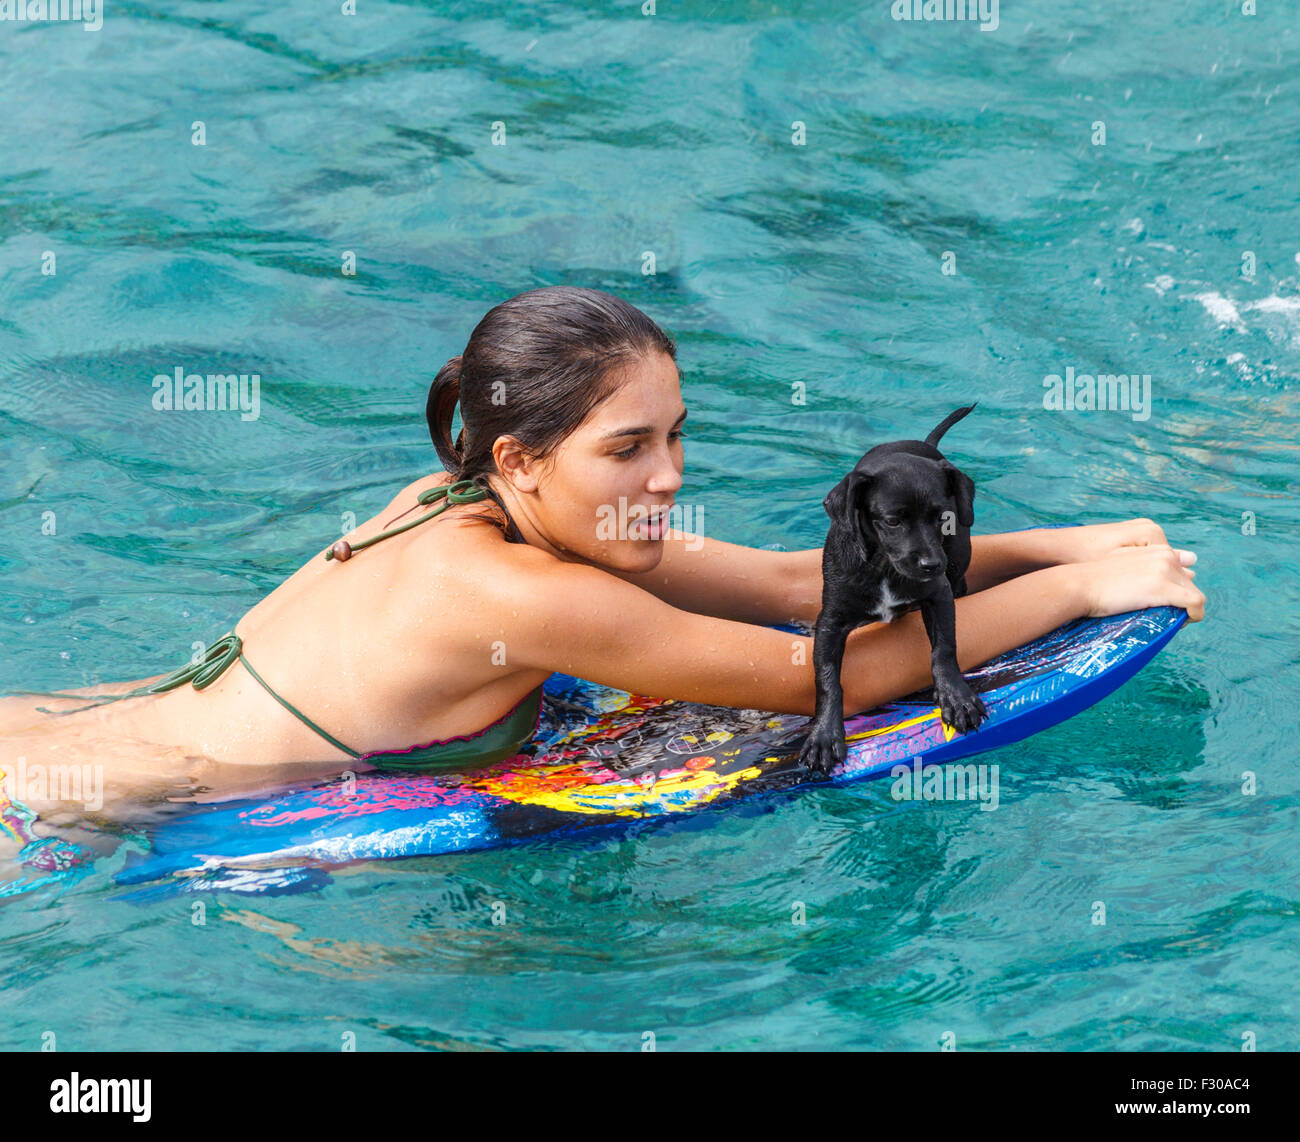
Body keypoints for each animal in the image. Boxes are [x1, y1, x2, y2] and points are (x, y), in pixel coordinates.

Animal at [800, 405, 982, 780]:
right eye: (893, 521)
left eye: (942, 517)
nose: (931, 564)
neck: (883, 566)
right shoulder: (831, 621)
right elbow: (827, 679)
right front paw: (824, 734)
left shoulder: (940, 595)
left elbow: (944, 648)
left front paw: (955, 696)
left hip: (957, 568)